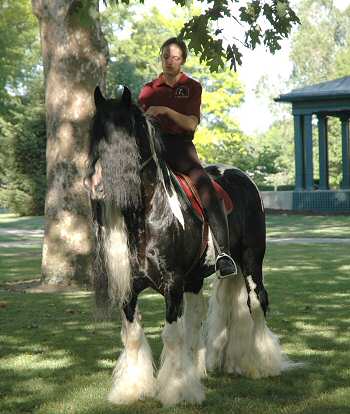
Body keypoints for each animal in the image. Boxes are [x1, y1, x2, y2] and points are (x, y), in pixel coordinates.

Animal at [85, 85, 290, 406]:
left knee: (256, 303)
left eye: (127, 133)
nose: (97, 186)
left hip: (251, 262)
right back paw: (204, 369)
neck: (149, 215)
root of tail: (241, 175)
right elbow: (133, 335)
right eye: (94, 132)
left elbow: (172, 336)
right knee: (197, 319)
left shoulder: (172, 285)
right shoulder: (130, 290)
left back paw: (261, 364)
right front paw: (133, 389)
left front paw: (177, 389)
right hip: (196, 278)